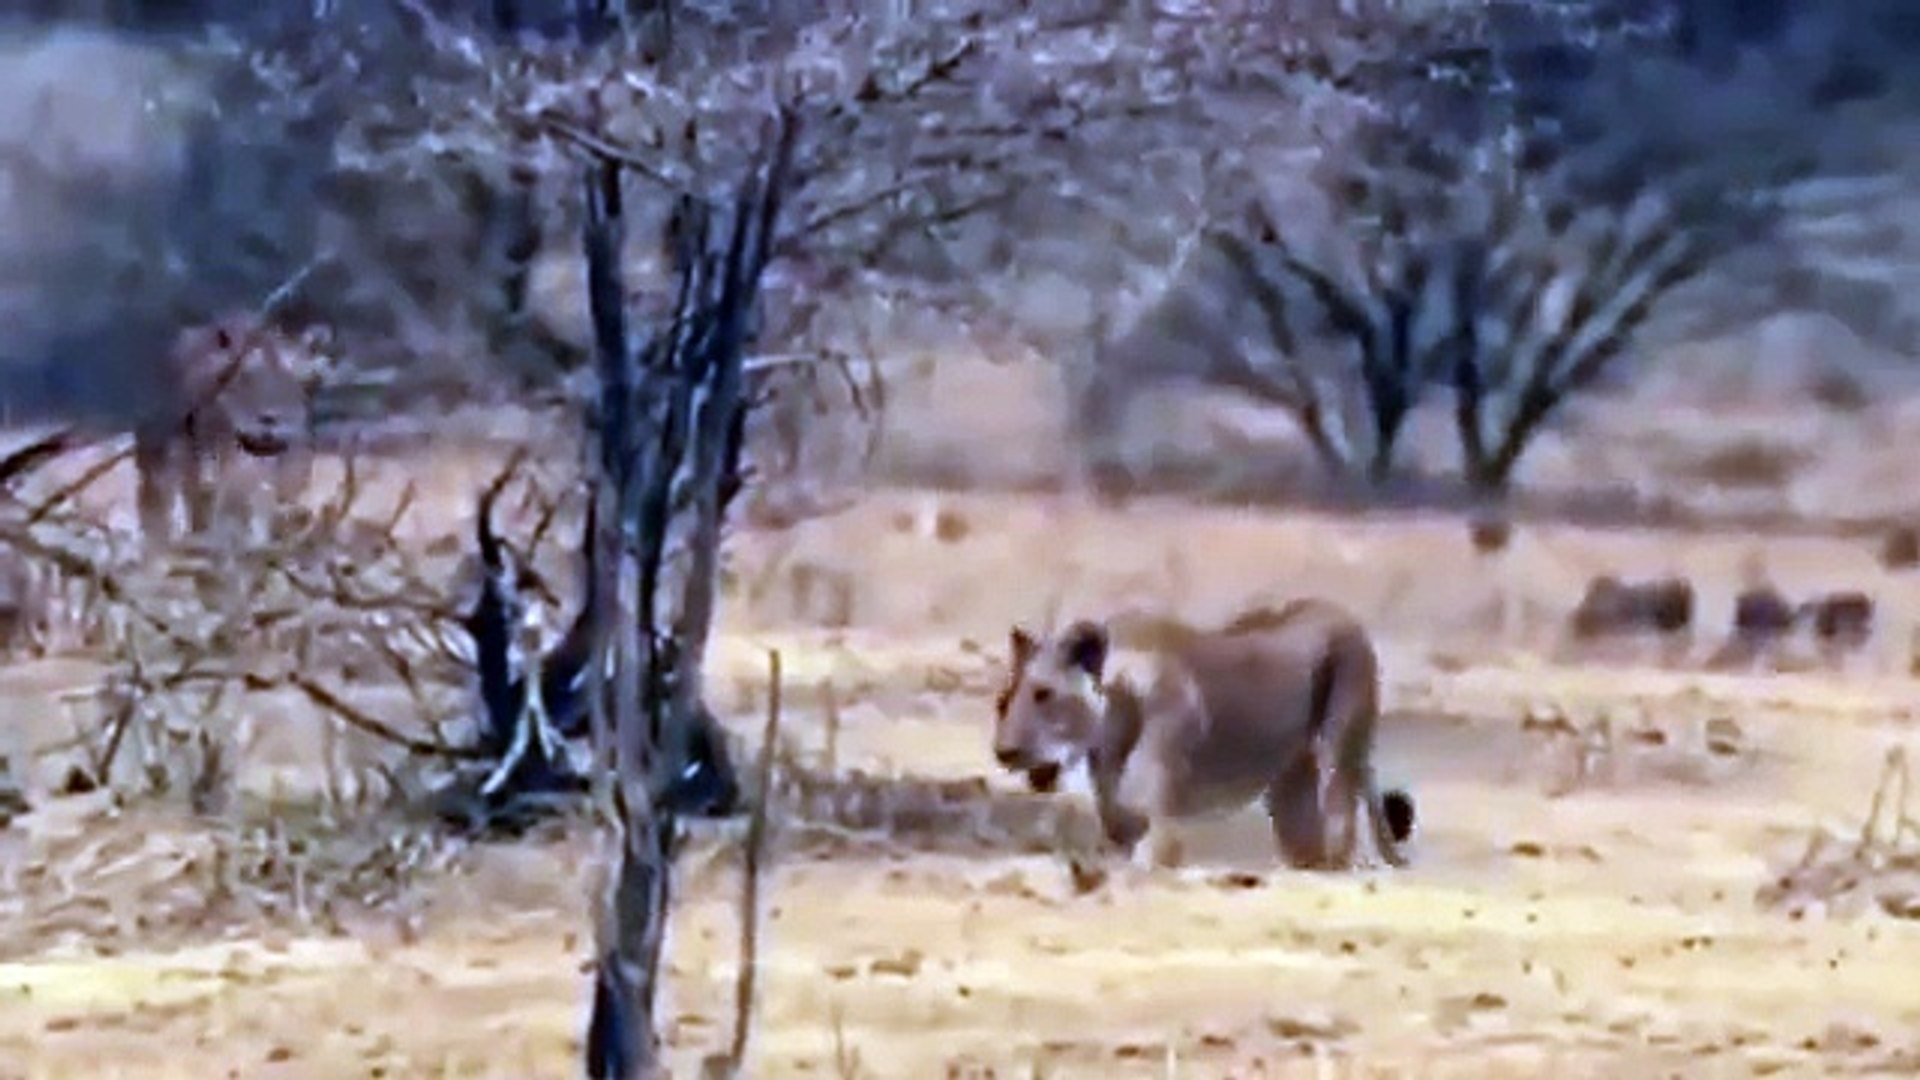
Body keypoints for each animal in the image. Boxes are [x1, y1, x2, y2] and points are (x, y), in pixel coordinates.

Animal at [992, 601, 1416, 873]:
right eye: (1005, 699)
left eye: (1044, 694)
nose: (1003, 752)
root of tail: (1341, 611)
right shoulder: (1119, 825)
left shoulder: (1163, 838)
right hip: (1291, 785)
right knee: (1306, 845)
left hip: (1339, 747)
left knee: (1341, 828)